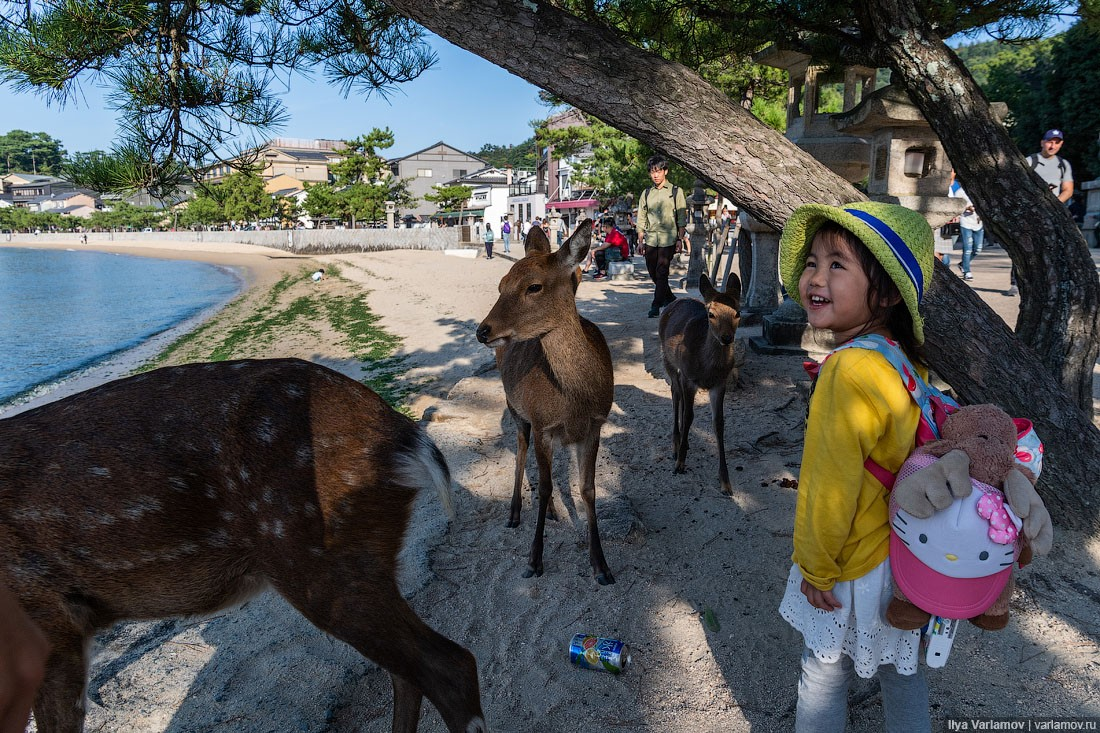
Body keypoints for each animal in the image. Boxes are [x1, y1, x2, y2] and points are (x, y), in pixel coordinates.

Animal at [473, 216, 616, 581]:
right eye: (501, 285)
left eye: (533, 287)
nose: (483, 330)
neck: (576, 400)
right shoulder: (541, 423)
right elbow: (546, 484)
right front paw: (534, 559)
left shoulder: (595, 425)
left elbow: (587, 489)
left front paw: (601, 565)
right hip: (514, 408)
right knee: (522, 452)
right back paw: (513, 514)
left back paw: (551, 512)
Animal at [655, 270, 743, 493]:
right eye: (711, 314)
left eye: (738, 312)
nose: (727, 338)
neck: (707, 370)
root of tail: (676, 301)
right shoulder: (689, 378)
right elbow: (688, 416)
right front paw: (680, 464)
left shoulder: (720, 383)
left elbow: (719, 423)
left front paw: (725, 481)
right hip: (668, 360)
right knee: (676, 396)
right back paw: (676, 446)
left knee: (680, 397)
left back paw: (683, 445)